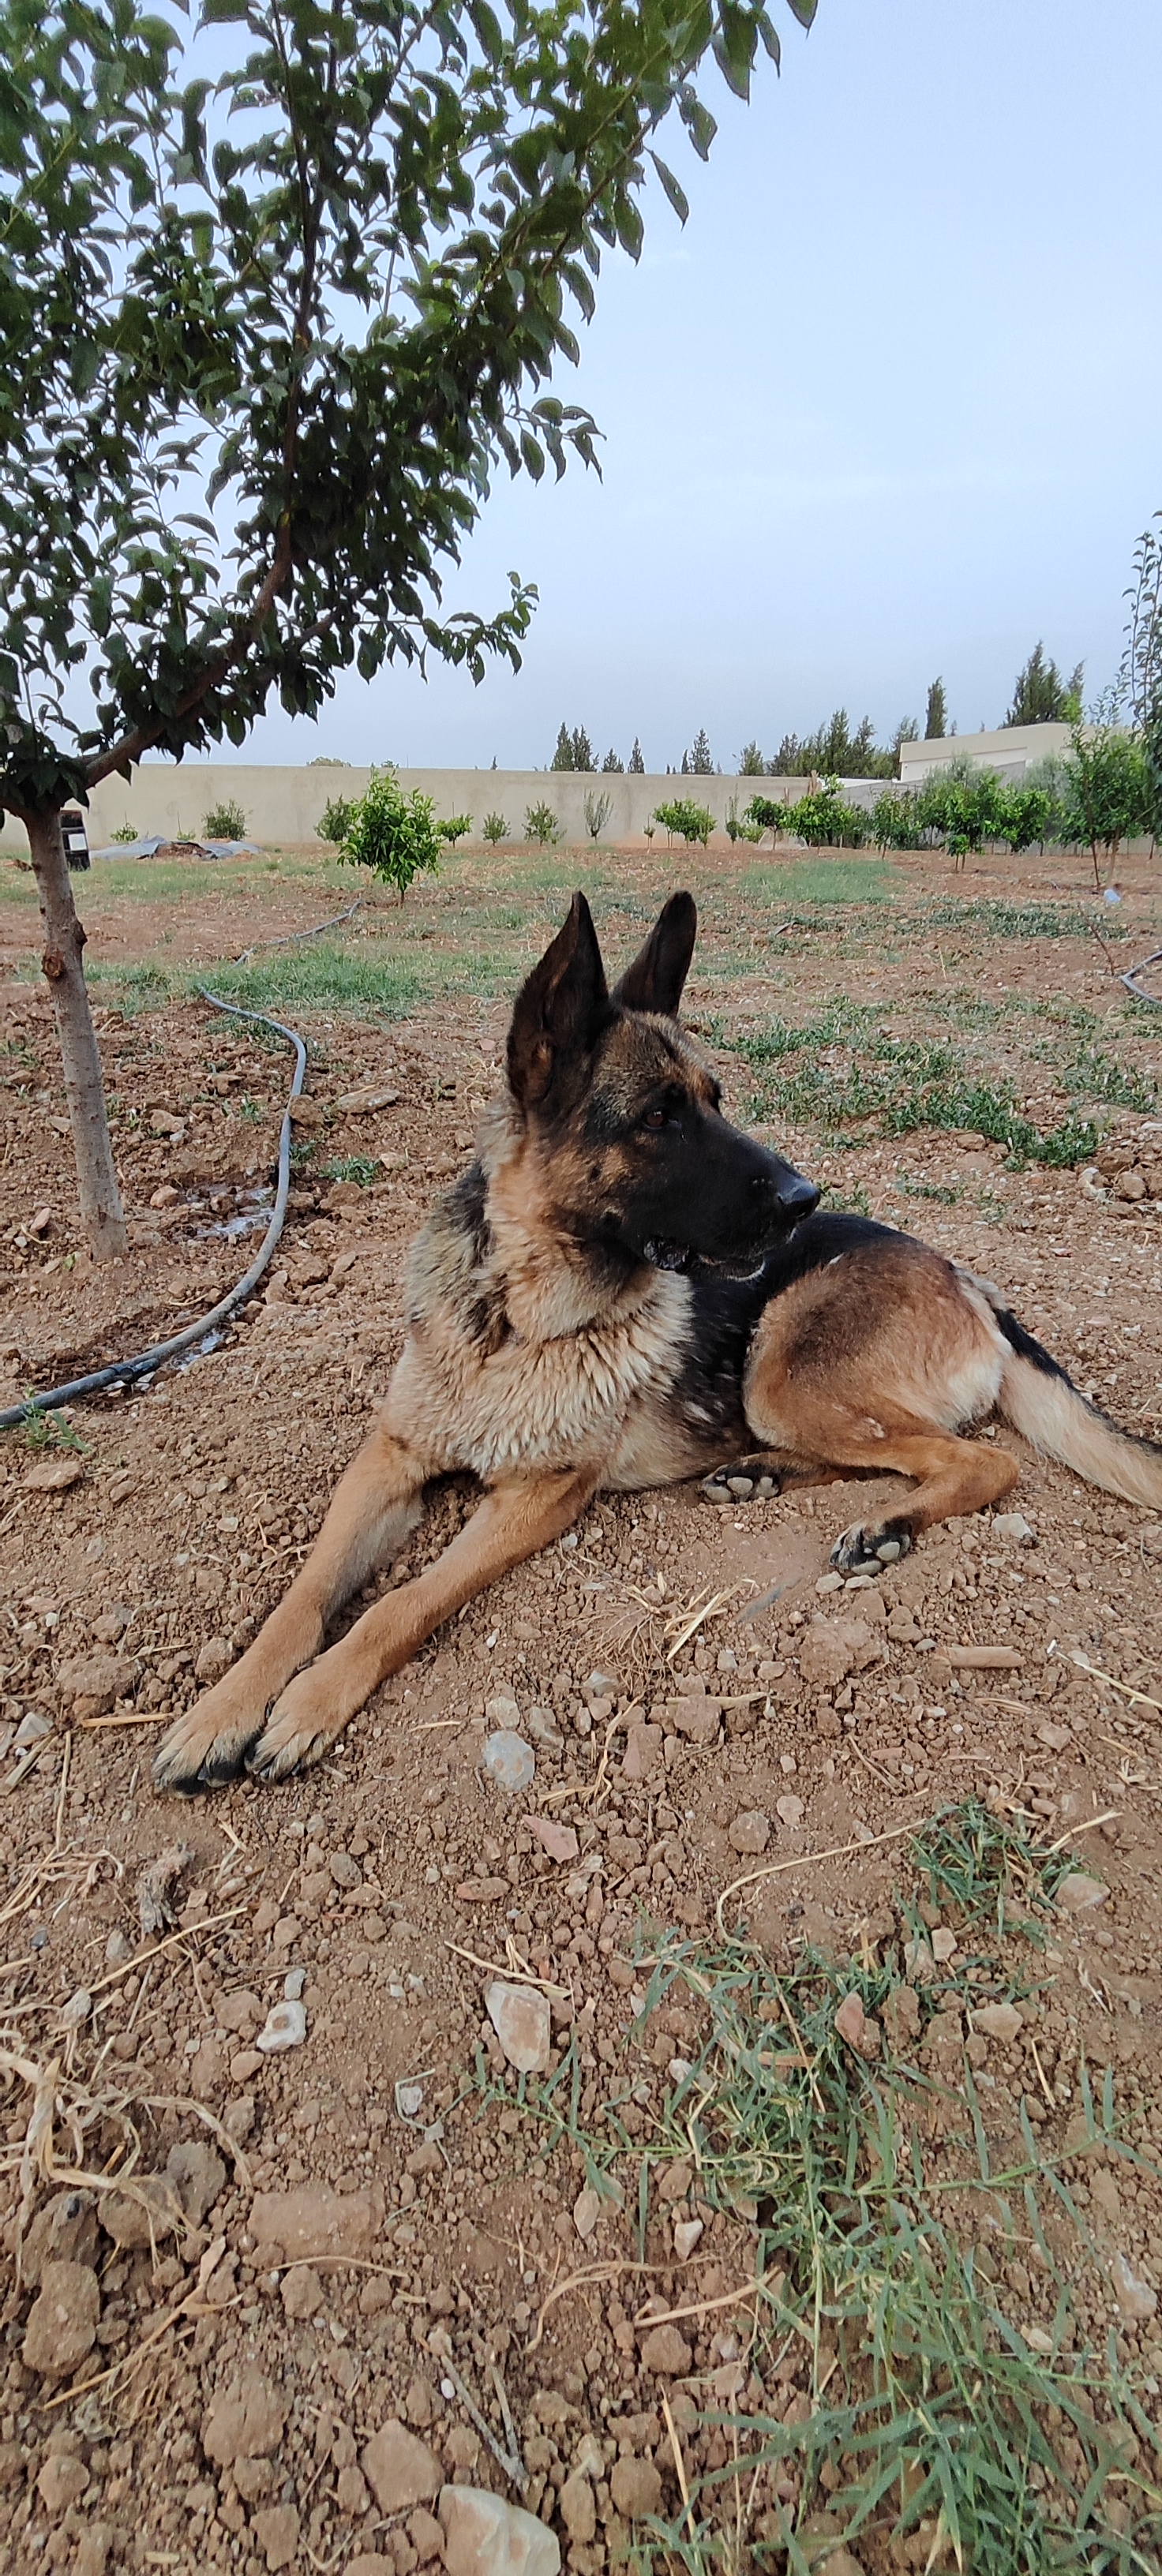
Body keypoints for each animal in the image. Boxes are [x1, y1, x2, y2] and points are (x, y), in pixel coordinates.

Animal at [157, 891, 1162, 1792]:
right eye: (657, 1116)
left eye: (715, 1101)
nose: (803, 1198)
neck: (512, 1318)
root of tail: (967, 1280)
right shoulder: (389, 1459)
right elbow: (302, 1597)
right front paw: (223, 1710)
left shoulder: (536, 1496)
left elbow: (399, 1602)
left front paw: (310, 1701)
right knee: (887, 1452)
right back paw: (759, 1476)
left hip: (779, 1373)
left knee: (977, 1462)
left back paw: (884, 1527)